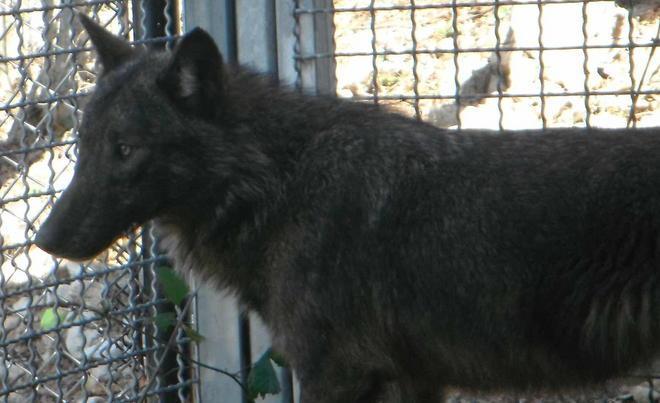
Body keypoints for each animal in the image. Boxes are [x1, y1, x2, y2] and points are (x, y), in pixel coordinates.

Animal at [34, 15, 660, 403]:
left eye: (125, 150)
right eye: (84, 145)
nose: (44, 240)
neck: (279, 184)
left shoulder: (335, 372)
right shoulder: (410, 378)